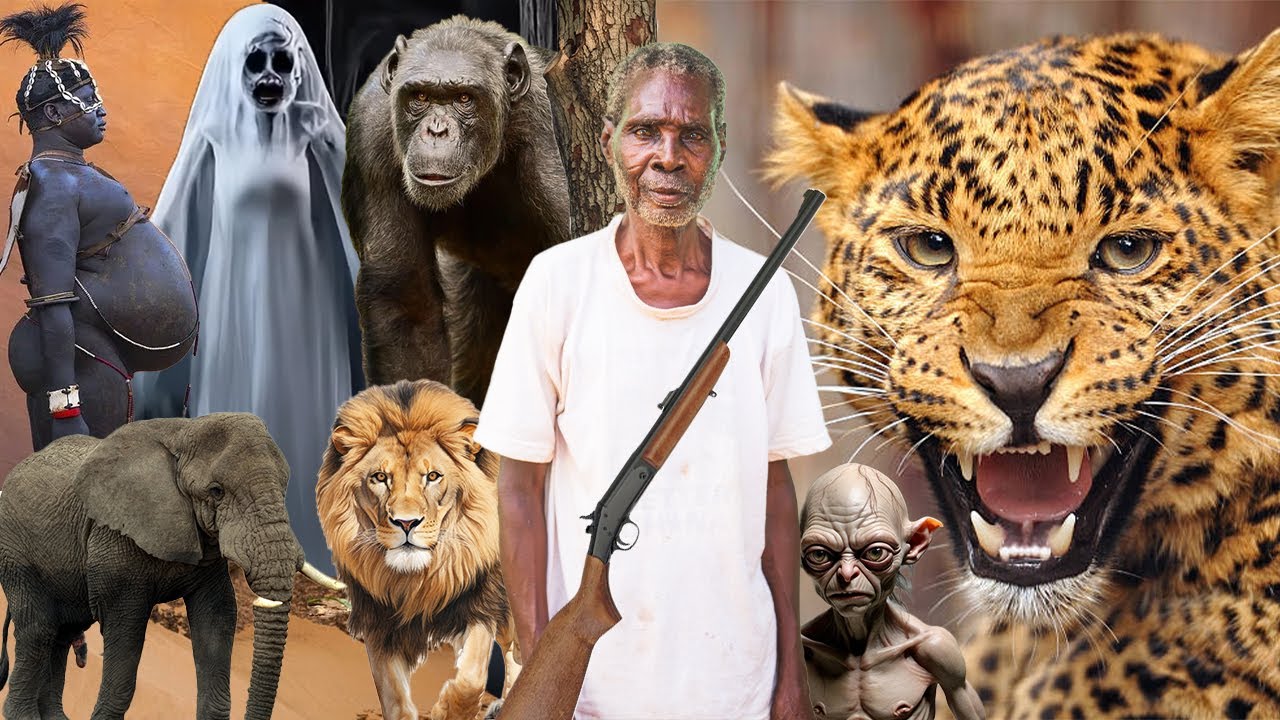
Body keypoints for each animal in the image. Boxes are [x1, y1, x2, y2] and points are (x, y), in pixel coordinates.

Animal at [316, 380, 517, 720]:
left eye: (433, 476)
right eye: (380, 477)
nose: (406, 522)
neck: (416, 579)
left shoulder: (479, 605)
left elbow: (472, 678)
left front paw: (447, 711)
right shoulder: (379, 623)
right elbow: (395, 699)